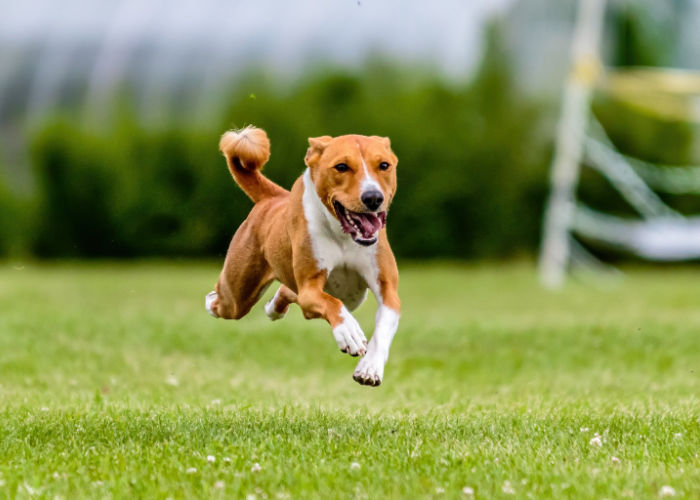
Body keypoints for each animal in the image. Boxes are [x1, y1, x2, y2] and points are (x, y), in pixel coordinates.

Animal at [204, 126, 400, 386]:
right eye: (341, 167)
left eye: (384, 165)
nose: (373, 197)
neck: (344, 235)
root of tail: (272, 199)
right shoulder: (310, 286)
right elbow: (331, 303)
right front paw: (349, 333)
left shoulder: (387, 288)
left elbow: (384, 325)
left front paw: (370, 368)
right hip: (237, 294)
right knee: (221, 299)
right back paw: (214, 301)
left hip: (352, 297)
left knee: (290, 294)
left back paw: (274, 307)